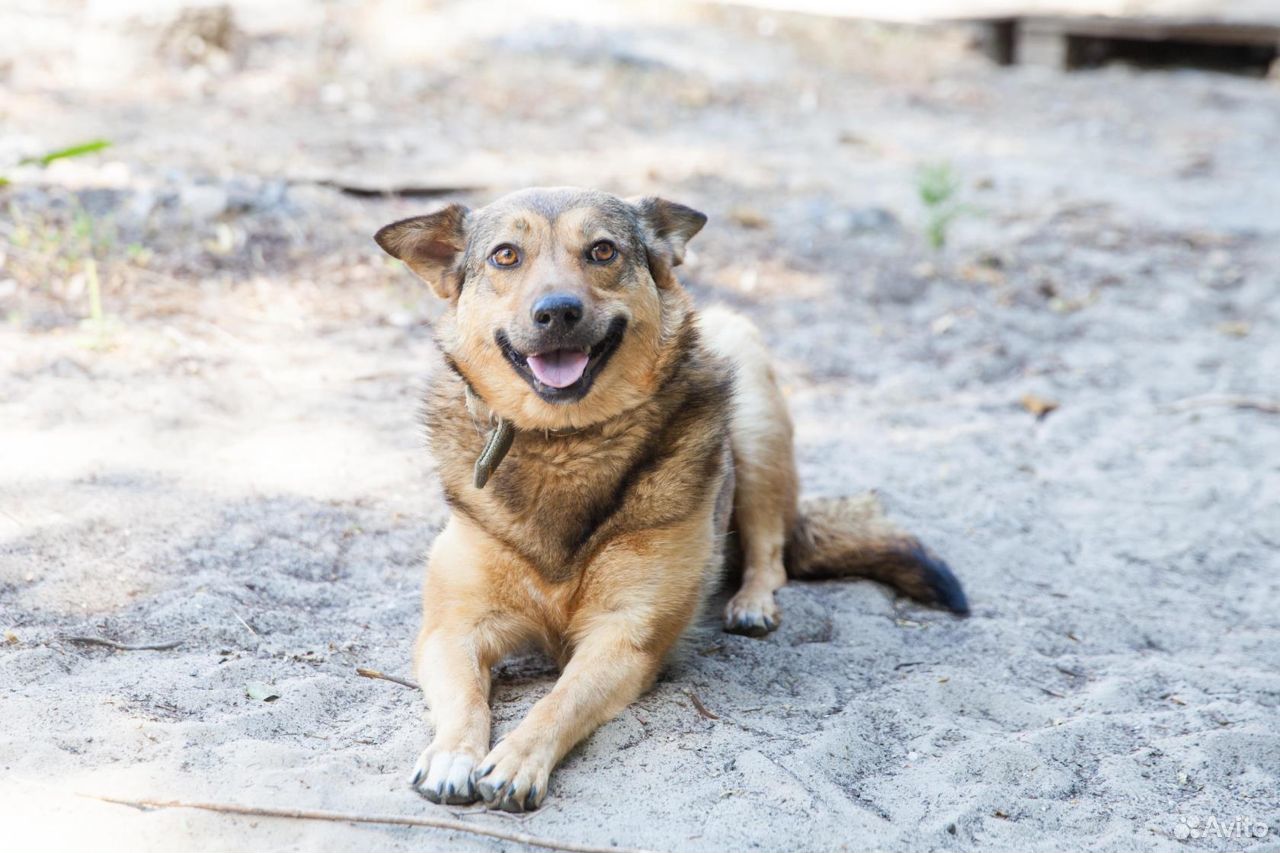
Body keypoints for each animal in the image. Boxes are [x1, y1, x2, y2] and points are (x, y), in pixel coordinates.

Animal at [373, 185, 962, 809]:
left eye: (603, 251)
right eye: (505, 255)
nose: (557, 311)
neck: (565, 442)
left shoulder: (625, 638)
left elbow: (559, 701)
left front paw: (515, 759)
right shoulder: (450, 632)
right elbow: (465, 699)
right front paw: (452, 755)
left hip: (753, 412)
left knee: (770, 547)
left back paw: (752, 602)